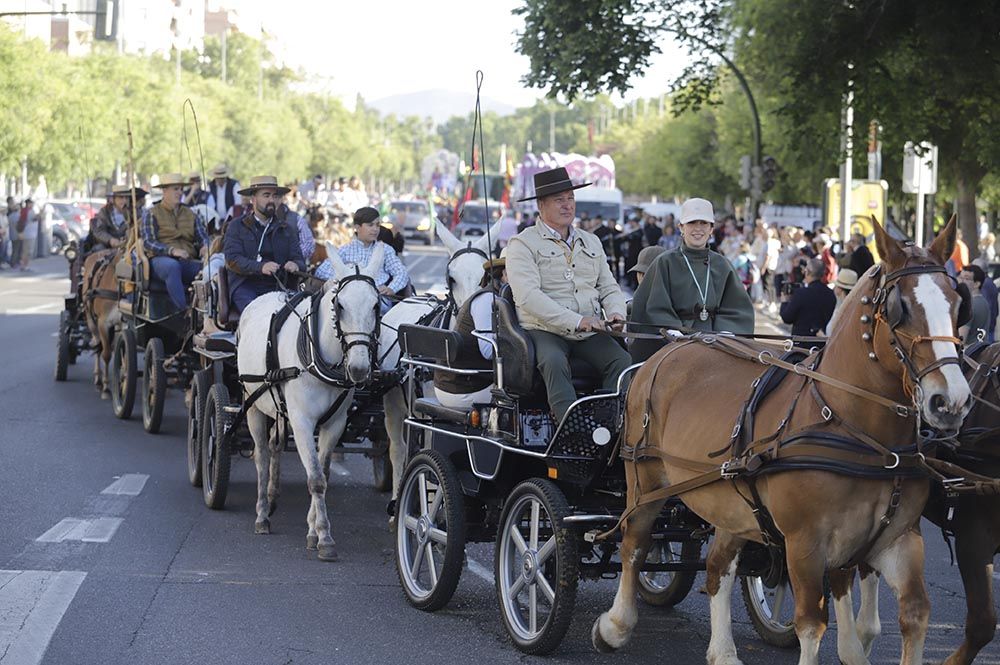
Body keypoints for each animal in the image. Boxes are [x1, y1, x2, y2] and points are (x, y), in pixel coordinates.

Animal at [81, 248, 123, 394]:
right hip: (90, 319)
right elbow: (106, 354)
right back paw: (98, 379)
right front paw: (105, 387)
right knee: (98, 344)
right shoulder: (103, 323)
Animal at [236, 240, 384, 560]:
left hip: (279, 410)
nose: (359, 369)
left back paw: (272, 497)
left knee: (274, 447)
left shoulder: (335, 423)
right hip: (252, 403)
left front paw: (314, 530)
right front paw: (325, 538)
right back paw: (262, 514)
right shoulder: (302, 420)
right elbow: (315, 478)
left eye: (376, 305)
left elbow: (323, 473)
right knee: (261, 455)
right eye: (340, 306)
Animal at [592, 218, 968, 664]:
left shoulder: (897, 540)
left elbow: (913, 614)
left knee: (718, 566)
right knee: (634, 543)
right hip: (645, 481)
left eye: (957, 303)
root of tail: (673, 345)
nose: (951, 401)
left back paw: (722, 650)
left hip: (731, 501)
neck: (861, 435)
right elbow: (810, 623)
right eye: (899, 309)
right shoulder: (805, 545)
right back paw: (615, 626)